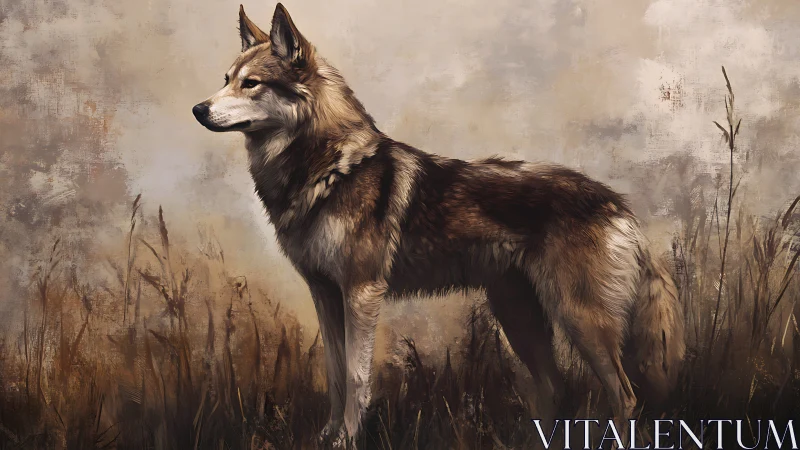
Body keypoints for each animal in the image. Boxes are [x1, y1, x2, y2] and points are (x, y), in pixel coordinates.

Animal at [193, 3, 686, 445]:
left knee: (624, 396)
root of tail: (618, 204)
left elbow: (355, 377)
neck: (327, 167)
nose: (198, 109)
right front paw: (328, 436)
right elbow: (333, 373)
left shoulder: (360, 293)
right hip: (520, 316)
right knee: (555, 387)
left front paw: (347, 439)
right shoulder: (325, 294)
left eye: (251, 84)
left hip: (579, 320)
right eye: (225, 80)